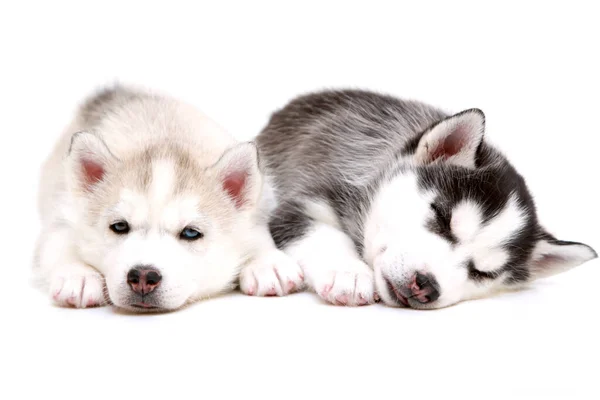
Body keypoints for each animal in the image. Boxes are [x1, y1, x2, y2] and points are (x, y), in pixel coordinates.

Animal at [34, 83, 302, 310]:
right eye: (119, 226)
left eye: (191, 233)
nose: (143, 276)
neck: (163, 136)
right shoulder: (62, 210)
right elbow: (59, 243)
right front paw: (77, 274)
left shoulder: (261, 206)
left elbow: (258, 234)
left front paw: (267, 263)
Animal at [255, 90, 596, 310]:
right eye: (442, 218)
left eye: (483, 274)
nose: (426, 285)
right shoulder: (299, 202)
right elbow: (323, 234)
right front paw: (347, 273)